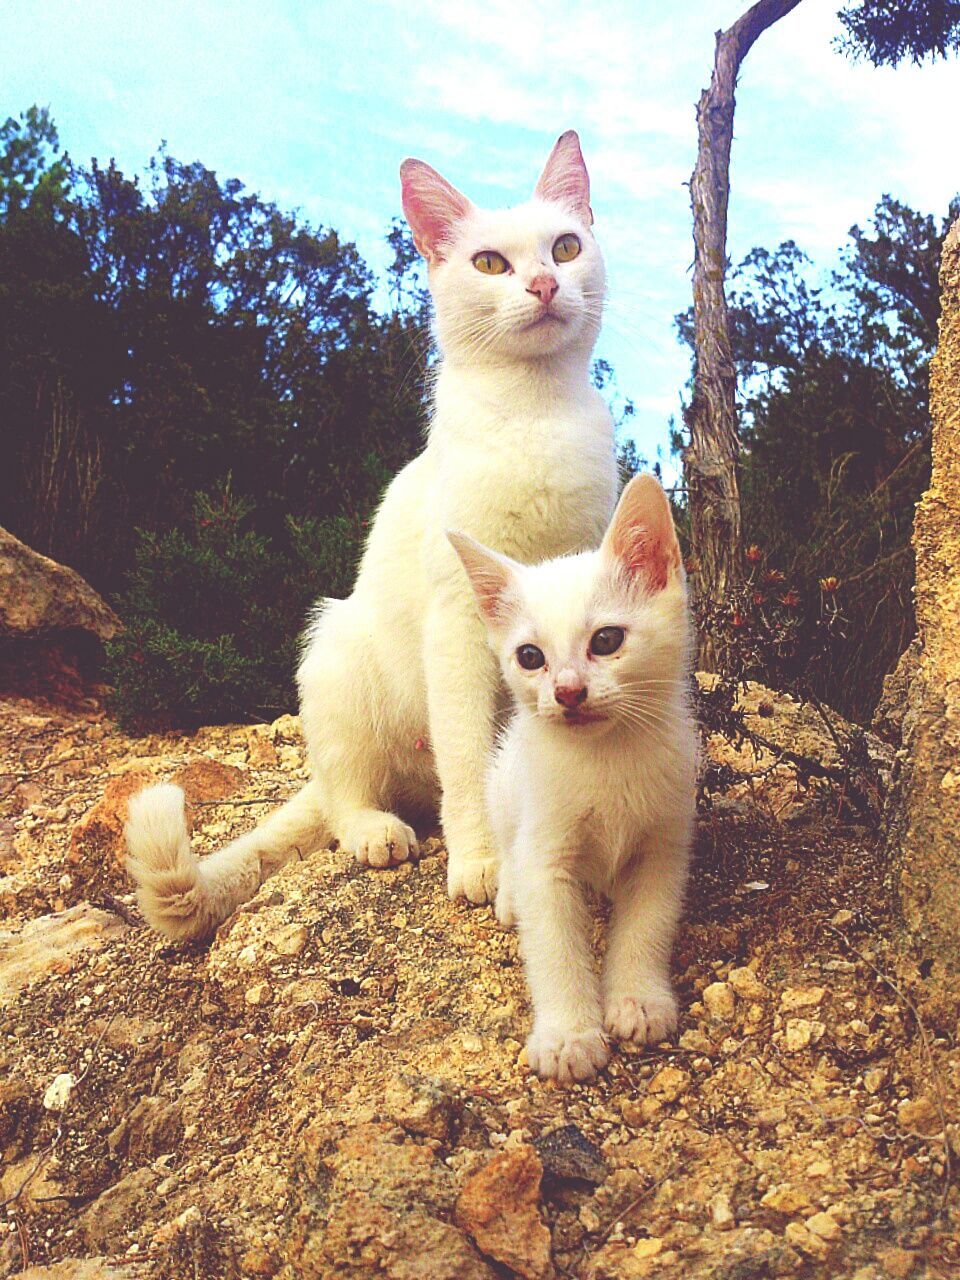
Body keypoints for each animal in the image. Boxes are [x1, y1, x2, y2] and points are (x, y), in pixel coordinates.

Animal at [126, 129, 616, 936]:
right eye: (491, 263)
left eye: (566, 247)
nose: (546, 284)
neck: (536, 413)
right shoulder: (457, 624)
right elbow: (470, 758)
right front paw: (481, 864)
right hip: (336, 649)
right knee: (346, 795)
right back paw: (379, 834)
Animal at [450, 476, 701, 1085]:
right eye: (529, 656)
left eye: (606, 641)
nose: (566, 691)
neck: (607, 758)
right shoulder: (547, 856)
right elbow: (555, 950)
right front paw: (568, 1036)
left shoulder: (664, 846)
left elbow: (647, 926)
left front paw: (637, 1000)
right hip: (503, 786)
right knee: (507, 848)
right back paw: (508, 896)